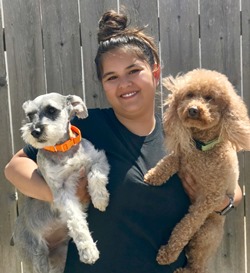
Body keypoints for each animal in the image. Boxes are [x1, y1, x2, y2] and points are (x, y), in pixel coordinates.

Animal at [13, 93, 109, 272]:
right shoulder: (61, 192)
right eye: (30, 115)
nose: (35, 131)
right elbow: (76, 221)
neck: (63, 149)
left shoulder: (97, 159)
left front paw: (100, 199)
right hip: (37, 258)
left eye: (52, 110)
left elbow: (97, 175)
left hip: (59, 257)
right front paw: (88, 250)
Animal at [144, 68, 250, 272]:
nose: (193, 109)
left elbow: (185, 226)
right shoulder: (183, 157)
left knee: (198, 263)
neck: (203, 148)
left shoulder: (209, 199)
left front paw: (168, 253)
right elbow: (170, 160)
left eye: (210, 98)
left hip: (205, 234)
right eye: (189, 95)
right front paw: (154, 175)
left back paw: (184, 269)